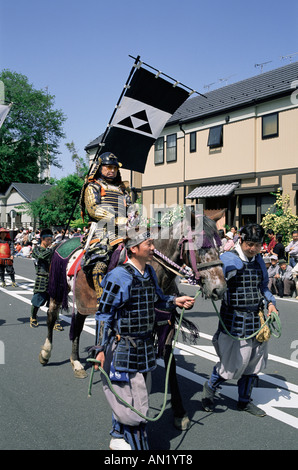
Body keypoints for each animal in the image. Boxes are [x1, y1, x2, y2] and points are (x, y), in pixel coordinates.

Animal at [39, 217, 226, 430]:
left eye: (219, 246)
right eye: (200, 246)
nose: (219, 289)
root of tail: (62, 241)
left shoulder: (164, 321)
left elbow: (169, 361)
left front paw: (179, 412)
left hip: (82, 303)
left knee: (78, 326)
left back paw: (80, 361)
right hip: (57, 290)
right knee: (53, 317)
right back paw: (49, 354)